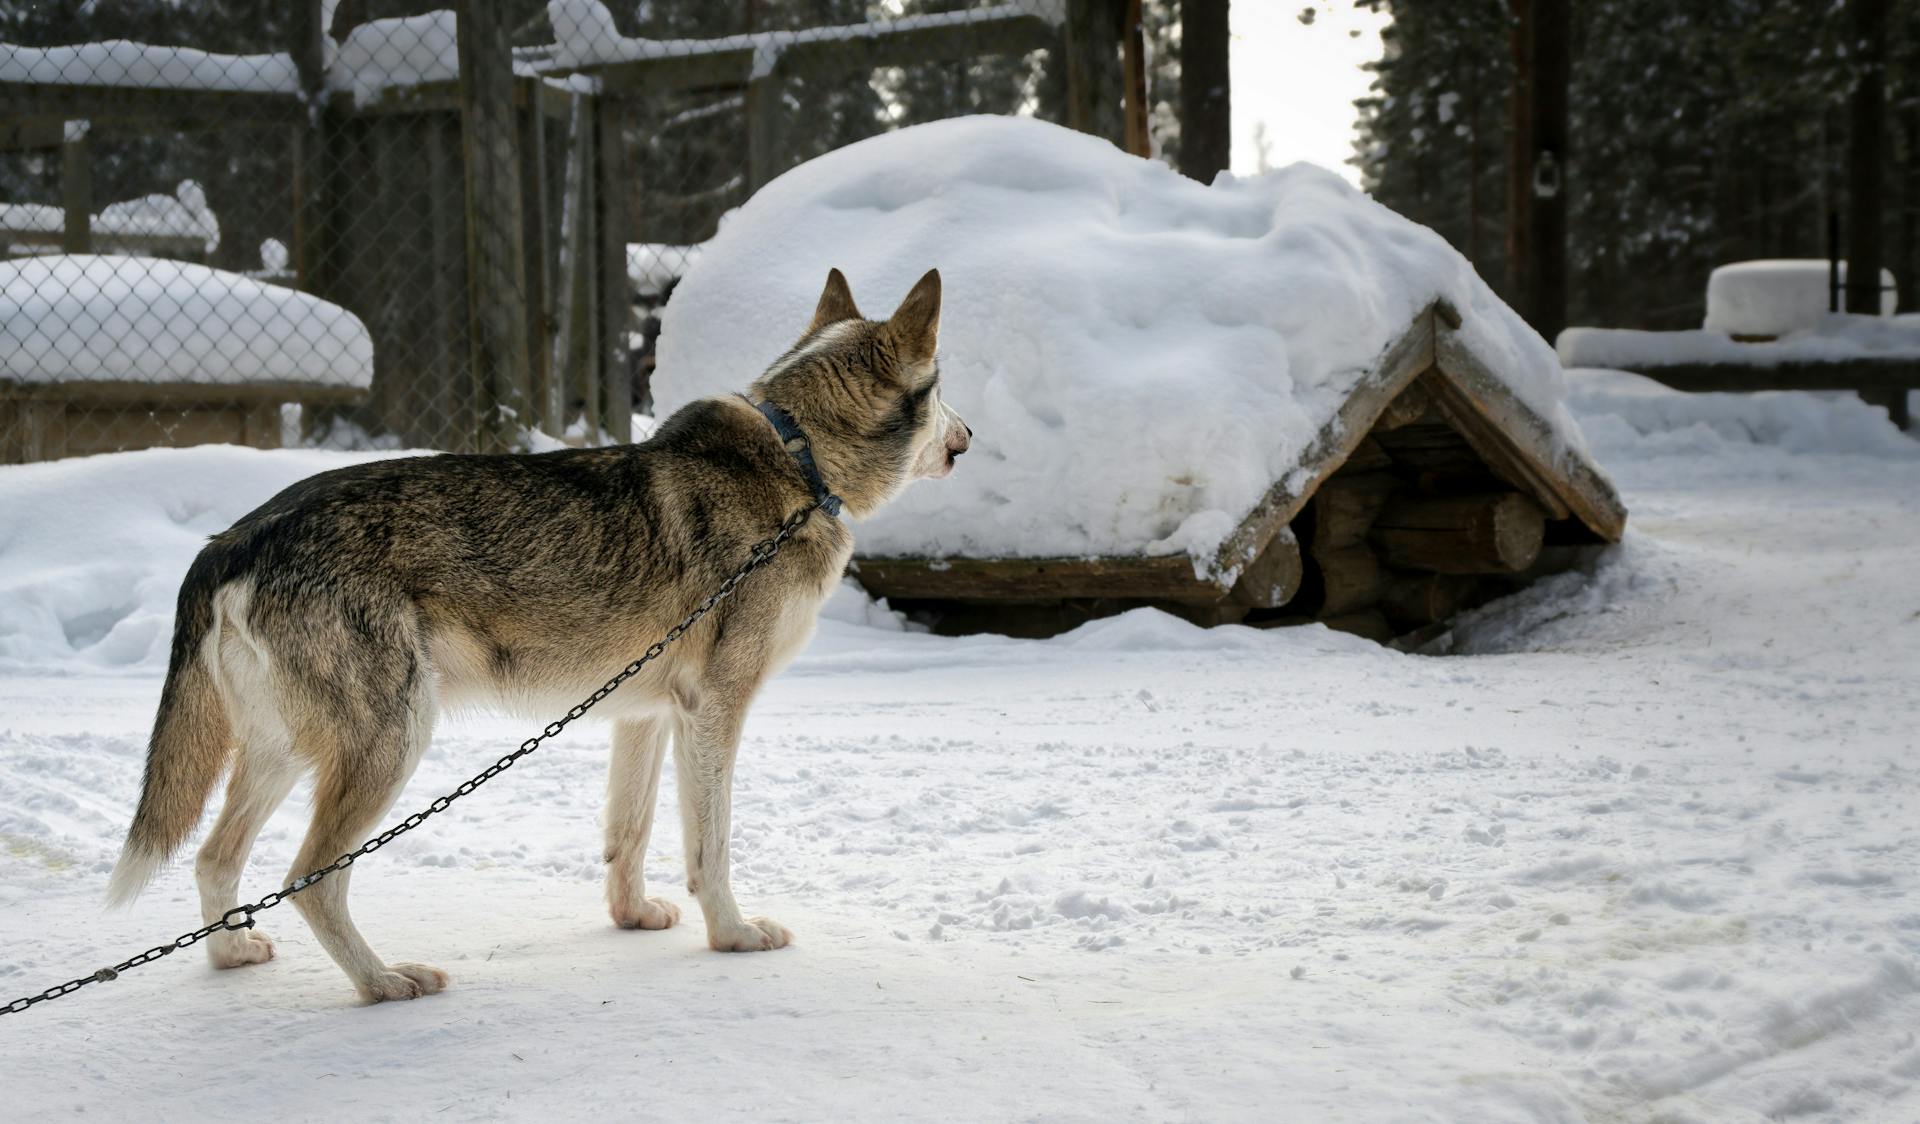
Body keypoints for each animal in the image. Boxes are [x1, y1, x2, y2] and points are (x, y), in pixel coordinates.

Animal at [105, 268, 967, 999]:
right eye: (943, 393)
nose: (966, 439)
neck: (797, 459)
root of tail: (233, 536)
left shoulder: (650, 714)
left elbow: (629, 836)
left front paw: (633, 919)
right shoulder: (716, 710)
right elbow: (710, 848)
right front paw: (733, 935)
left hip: (288, 752)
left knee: (215, 858)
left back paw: (232, 955)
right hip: (389, 743)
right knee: (307, 878)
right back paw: (383, 982)